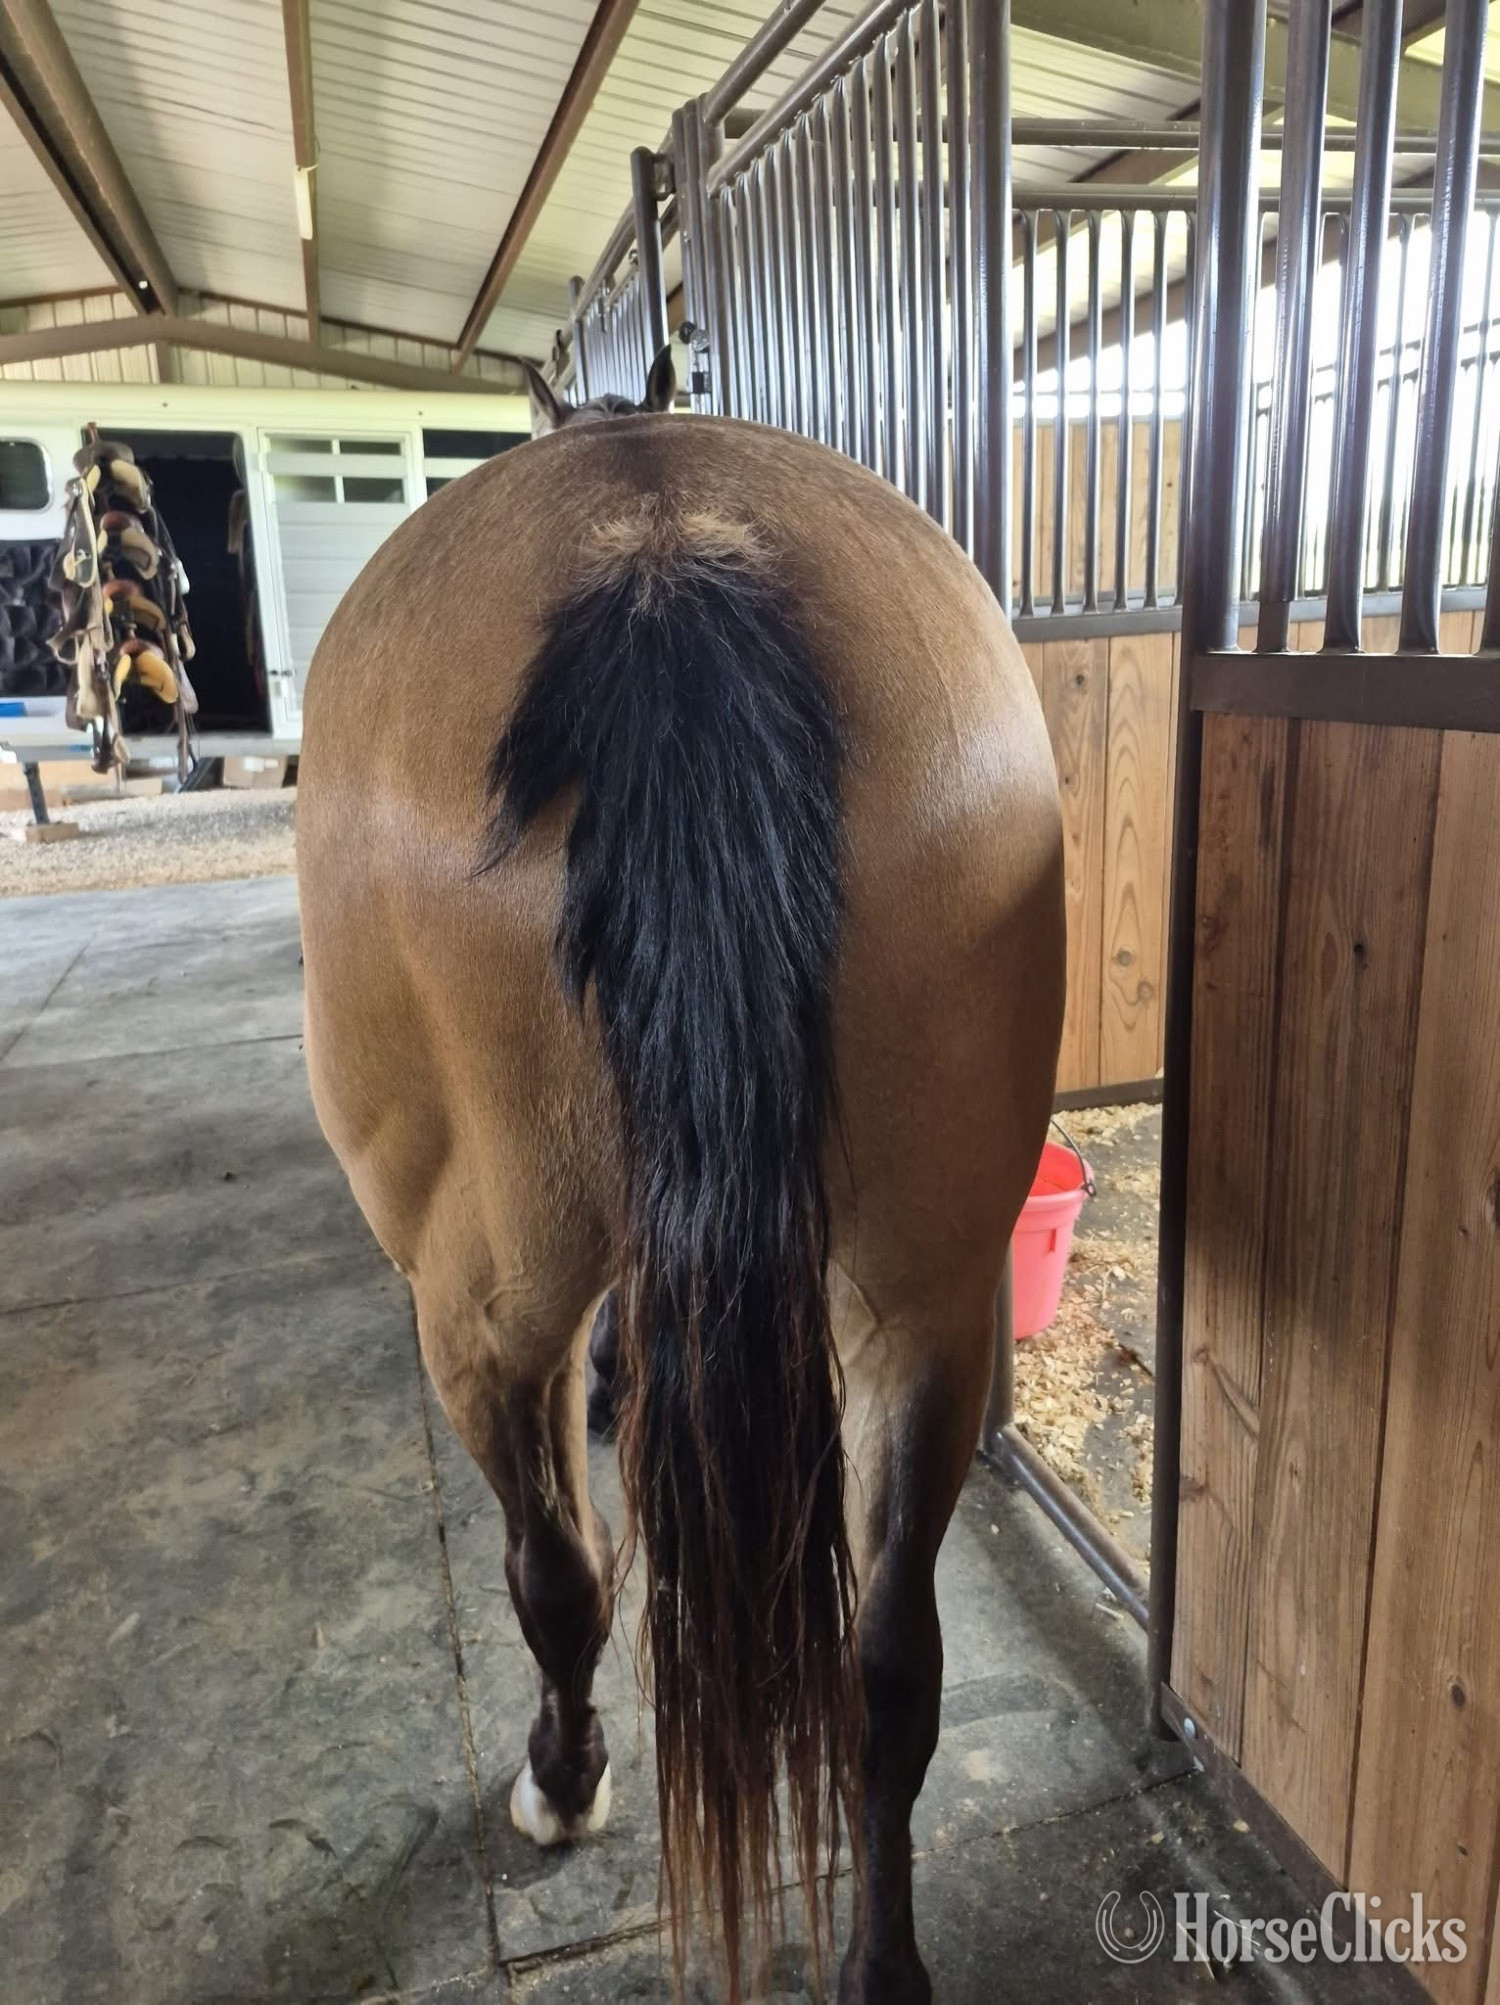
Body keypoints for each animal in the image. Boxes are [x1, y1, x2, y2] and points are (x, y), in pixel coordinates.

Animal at [296, 350, 1065, 2003]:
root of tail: (662, 557)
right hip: (926, 1302)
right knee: (890, 1660)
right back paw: (881, 1961)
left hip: (481, 1301)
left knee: (558, 1573)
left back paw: (563, 1777)